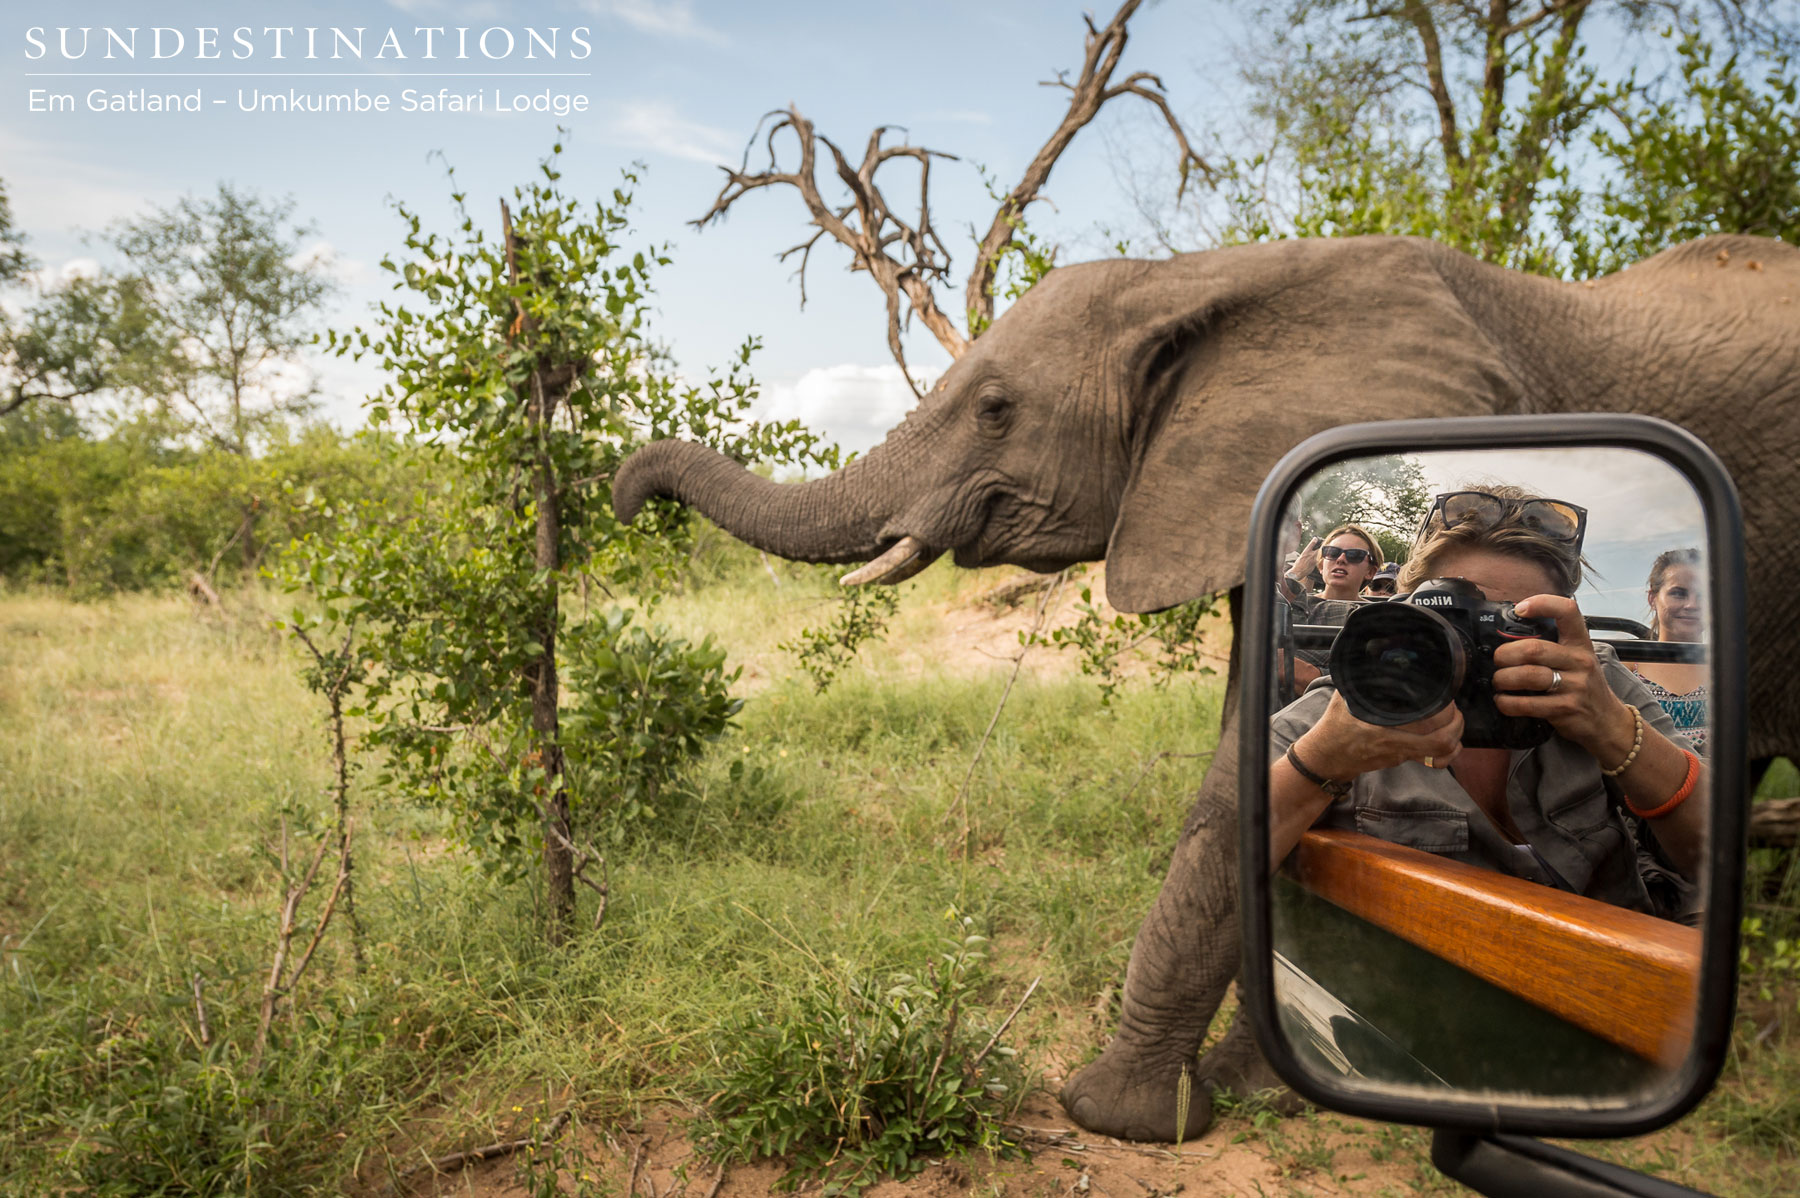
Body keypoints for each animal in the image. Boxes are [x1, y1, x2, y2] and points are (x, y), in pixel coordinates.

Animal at [613, 233, 1800, 1142]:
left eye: (995, 409)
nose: (625, 494)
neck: (1193, 275)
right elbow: (1261, 766)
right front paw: (1251, 1086)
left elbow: (1236, 785)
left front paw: (1118, 1118)